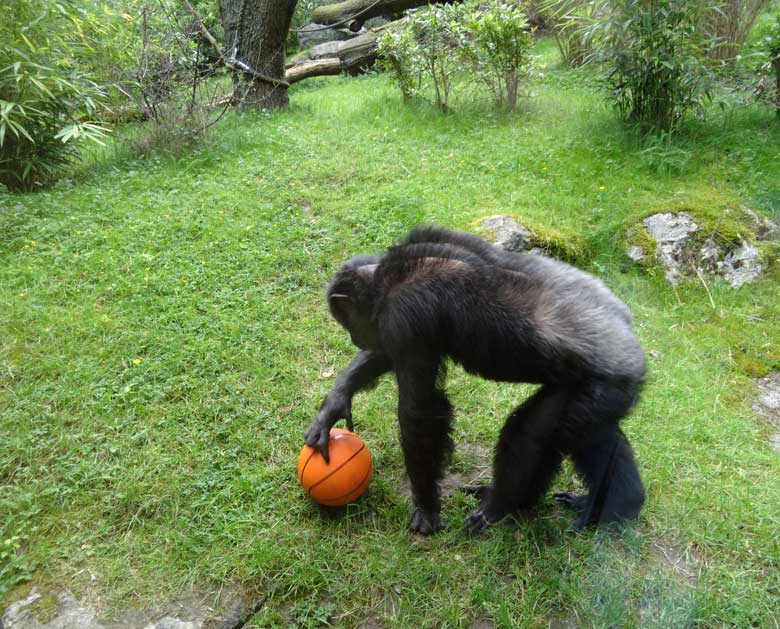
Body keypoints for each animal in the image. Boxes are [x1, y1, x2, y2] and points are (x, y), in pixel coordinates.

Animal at [304, 226, 644, 536]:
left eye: (347, 322)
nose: (354, 337)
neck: (387, 277)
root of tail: (630, 334)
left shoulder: (405, 318)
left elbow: (419, 413)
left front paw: (426, 508)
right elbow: (383, 356)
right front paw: (332, 408)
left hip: (598, 386)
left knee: (529, 434)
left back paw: (501, 504)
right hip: (608, 393)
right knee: (599, 438)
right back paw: (617, 505)